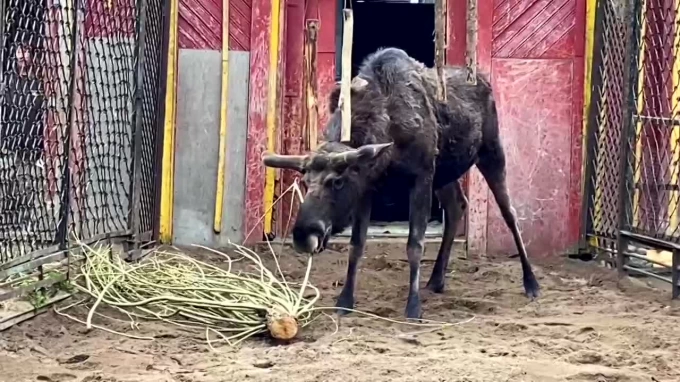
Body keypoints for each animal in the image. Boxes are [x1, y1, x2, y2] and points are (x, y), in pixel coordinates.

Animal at [262, 47, 540, 318]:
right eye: (305, 182)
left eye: (337, 182)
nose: (303, 234)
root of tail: (483, 80)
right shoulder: (368, 187)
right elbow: (356, 245)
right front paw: (345, 301)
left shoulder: (421, 176)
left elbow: (415, 245)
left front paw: (413, 306)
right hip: (445, 173)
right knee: (457, 205)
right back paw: (436, 279)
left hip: (491, 152)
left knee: (510, 213)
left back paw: (531, 282)